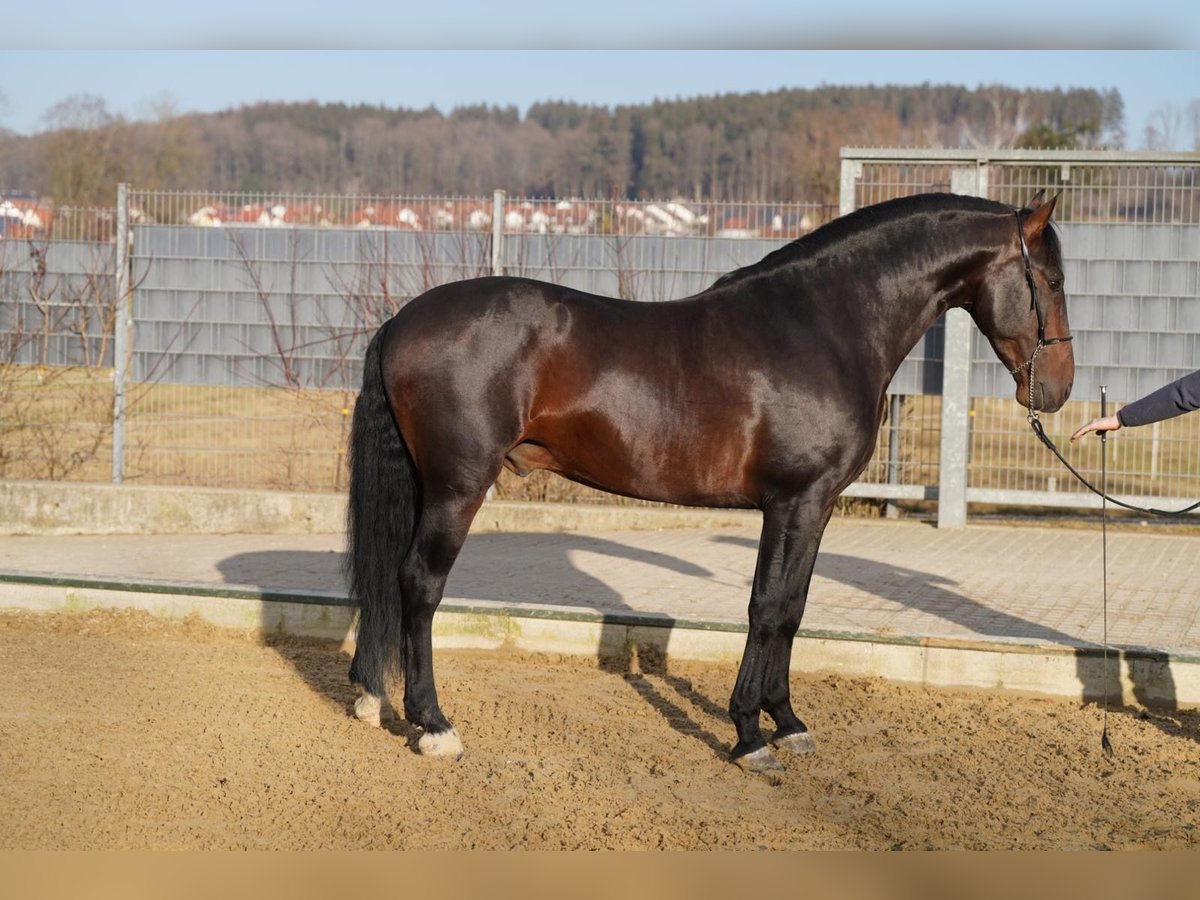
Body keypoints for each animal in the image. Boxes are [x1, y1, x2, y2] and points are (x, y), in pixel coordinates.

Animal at [343, 190, 1075, 777]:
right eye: (1050, 279)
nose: (1058, 390)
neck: (823, 324)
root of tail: (401, 320)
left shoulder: (817, 506)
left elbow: (794, 608)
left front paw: (789, 722)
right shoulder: (792, 502)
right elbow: (766, 608)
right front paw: (750, 735)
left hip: (427, 485)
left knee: (390, 579)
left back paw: (372, 698)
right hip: (457, 487)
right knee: (420, 584)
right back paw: (434, 725)